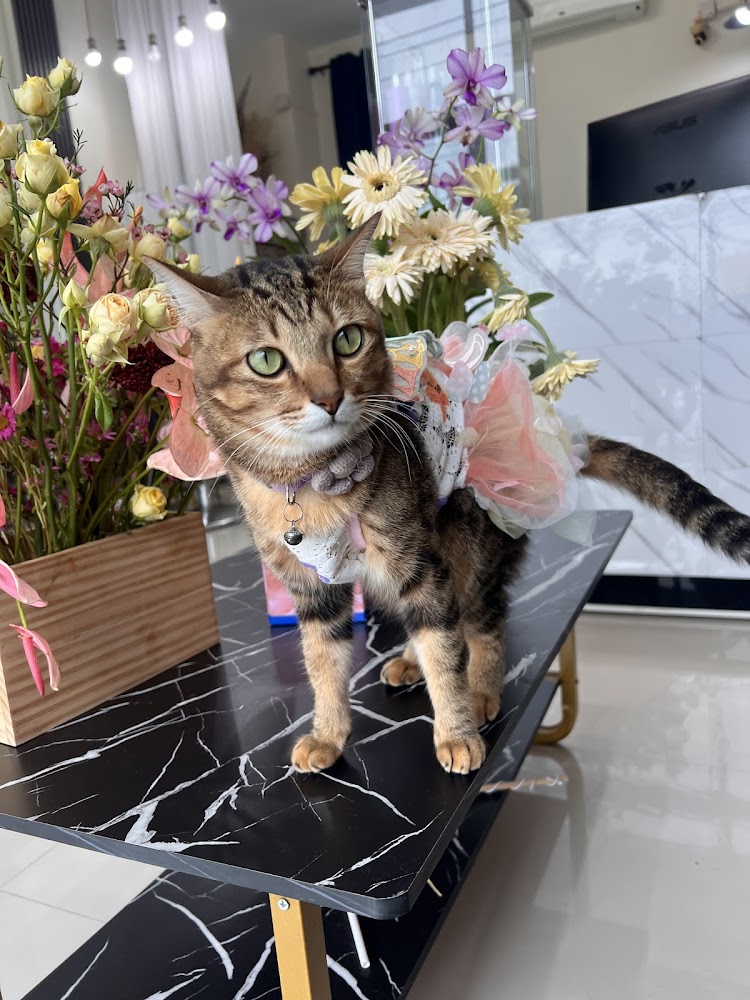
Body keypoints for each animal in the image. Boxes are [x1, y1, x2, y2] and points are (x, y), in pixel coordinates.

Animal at [149, 218, 750, 775]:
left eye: (347, 339)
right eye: (267, 361)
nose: (330, 397)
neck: (310, 480)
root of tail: (562, 438)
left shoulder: (416, 556)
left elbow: (445, 651)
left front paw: (455, 730)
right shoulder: (312, 587)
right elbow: (323, 663)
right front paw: (327, 733)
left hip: (470, 544)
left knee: (479, 622)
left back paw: (479, 690)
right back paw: (409, 661)